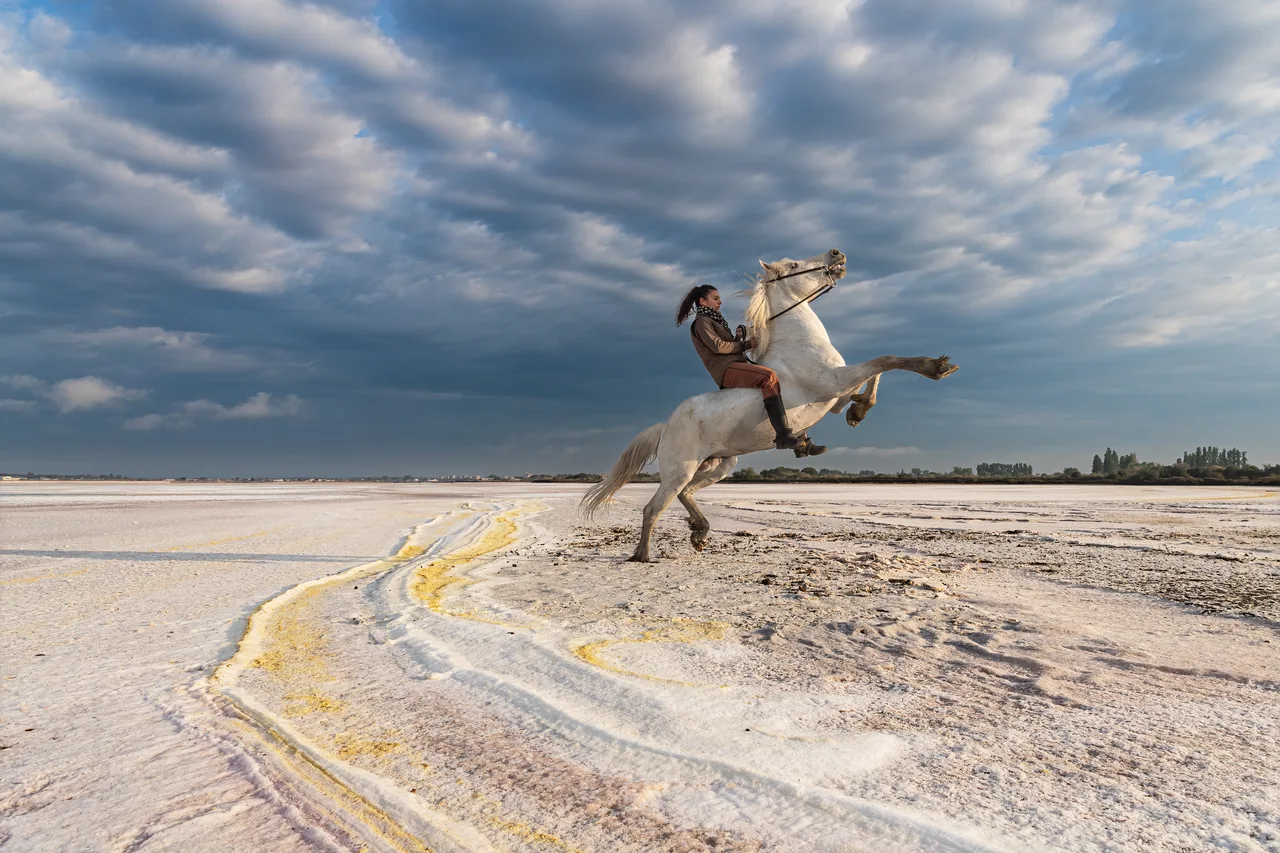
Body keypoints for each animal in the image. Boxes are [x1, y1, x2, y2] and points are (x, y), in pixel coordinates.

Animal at [582, 248, 958, 562]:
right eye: (792, 265)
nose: (837, 253)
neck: (799, 343)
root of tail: (666, 425)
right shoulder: (835, 381)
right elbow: (886, 360)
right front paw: (936, 367)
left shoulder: (836, 395)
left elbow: (873, 377)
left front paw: (858, 411)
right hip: (680, 469)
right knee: (653, 508)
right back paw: (643, 556)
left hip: (720, 465)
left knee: (686, 493)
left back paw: (700, 532)